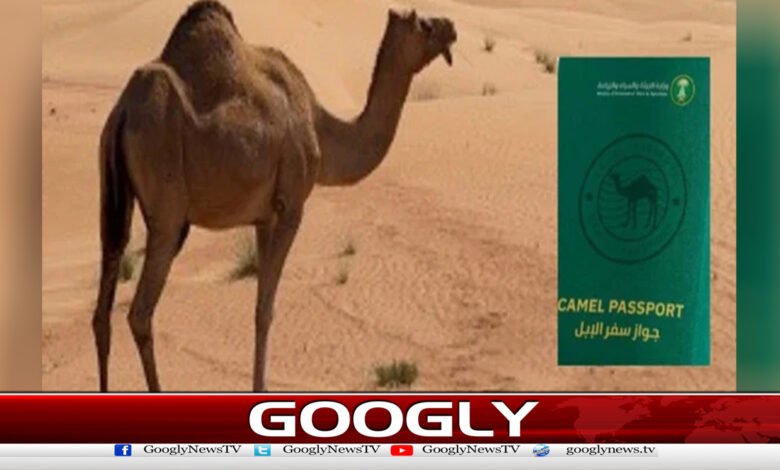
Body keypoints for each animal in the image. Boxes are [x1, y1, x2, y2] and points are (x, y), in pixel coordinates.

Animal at [92, 1, 457, 392]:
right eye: (424, 24)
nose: (451, 27)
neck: (321, 128)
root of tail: (124, 111)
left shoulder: (264, 217)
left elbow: (258, 308)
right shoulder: (291, 205)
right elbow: (266, 309)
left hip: (113, 198)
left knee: (103, 305)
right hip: (168, 208)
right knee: (140, 312)